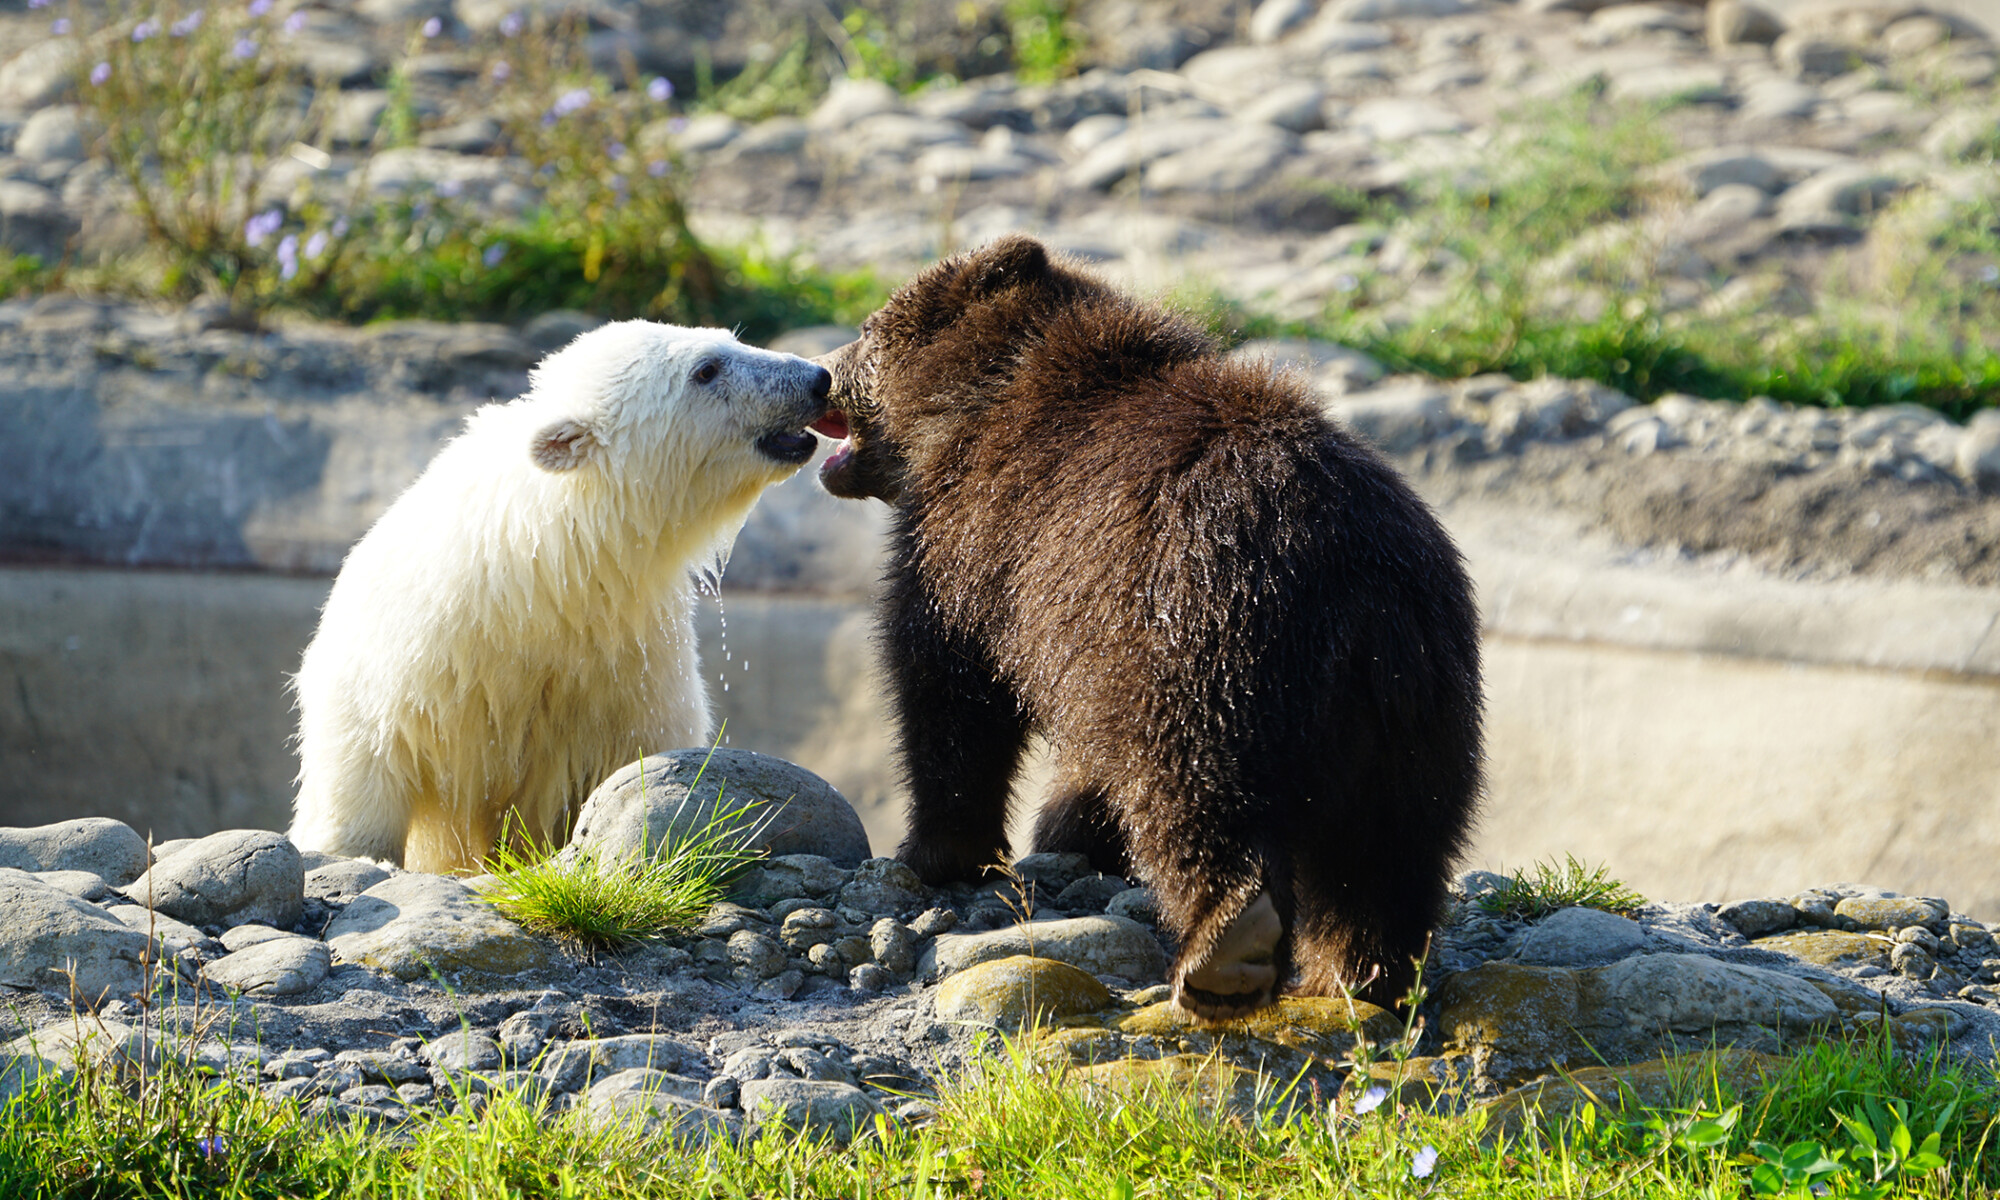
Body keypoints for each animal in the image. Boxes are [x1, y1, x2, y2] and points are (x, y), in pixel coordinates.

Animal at [290, 321, 832, 875]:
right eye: (706, 369)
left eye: (732, 338)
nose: (817, 377)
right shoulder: (404, 674)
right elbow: (362, 780)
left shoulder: (632, 663)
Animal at [807, 236, 1483, 1018]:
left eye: (864, 329)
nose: (819, 370)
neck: (972, 406)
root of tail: (1354, 589)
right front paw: (1071, 833)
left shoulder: (979, 545)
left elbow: (948, 690)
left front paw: (937, 851)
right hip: (1419, 702)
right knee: (1392, 850)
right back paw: (1360, 975)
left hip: (1206, 642)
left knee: (1197, 794)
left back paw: (1225, 952)